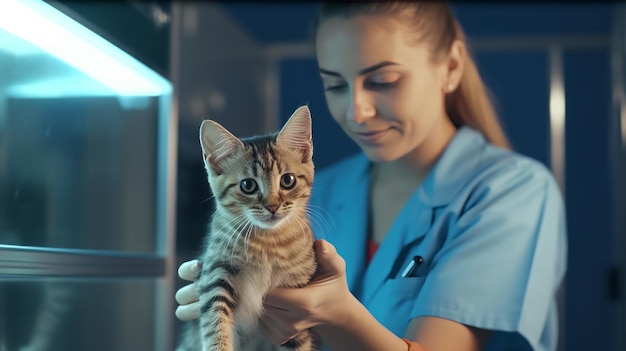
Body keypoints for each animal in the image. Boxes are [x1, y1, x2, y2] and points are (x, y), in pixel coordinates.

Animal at [178, 106, 320, 351]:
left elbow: (300, 342)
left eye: (288, 180)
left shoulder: (297, 304)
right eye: (248, 185)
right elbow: (215, 324)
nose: (272, 206)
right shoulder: (215, 274)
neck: (267, 242)